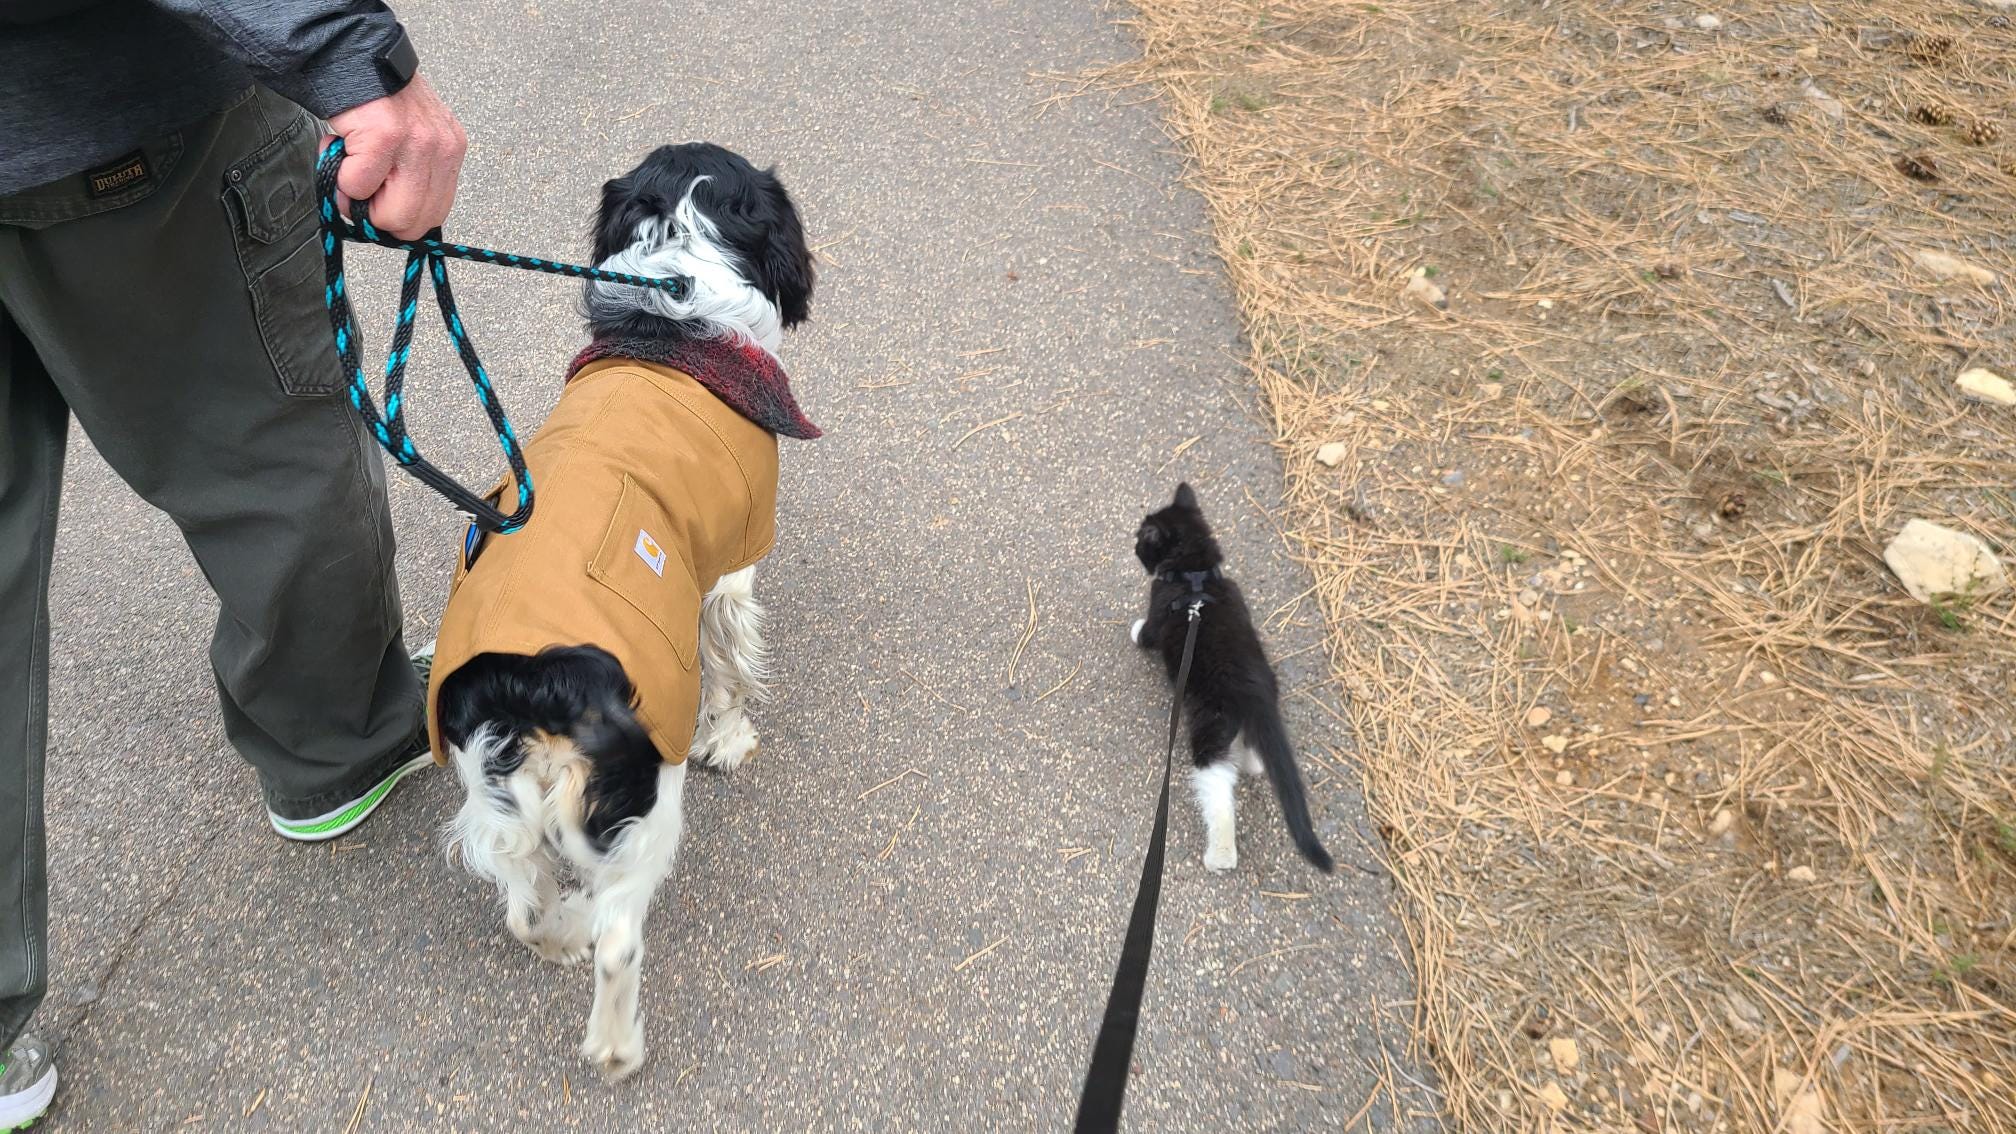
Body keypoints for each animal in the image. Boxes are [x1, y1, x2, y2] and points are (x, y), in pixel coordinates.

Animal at [427, 142, 817, 1081]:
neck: (675, 314)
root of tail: (530, 687)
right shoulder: (732, 563)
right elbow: (730, 665)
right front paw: (730, 739)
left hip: (496, 799)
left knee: (525, 910)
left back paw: (561, 934)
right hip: (642, 810)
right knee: (618, 937)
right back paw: (614, 1045)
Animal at [1130, 483, 1334, 874]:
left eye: (1142, 541)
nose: (1133, 546)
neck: (1194, 575)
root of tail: (1255, 692)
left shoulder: (1157, 608)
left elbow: (1146, 633)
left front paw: (1134, 631)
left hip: (1210, 726)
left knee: (1219, 790)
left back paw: (1221, 854)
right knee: (1253, 747)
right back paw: (1254, 763)